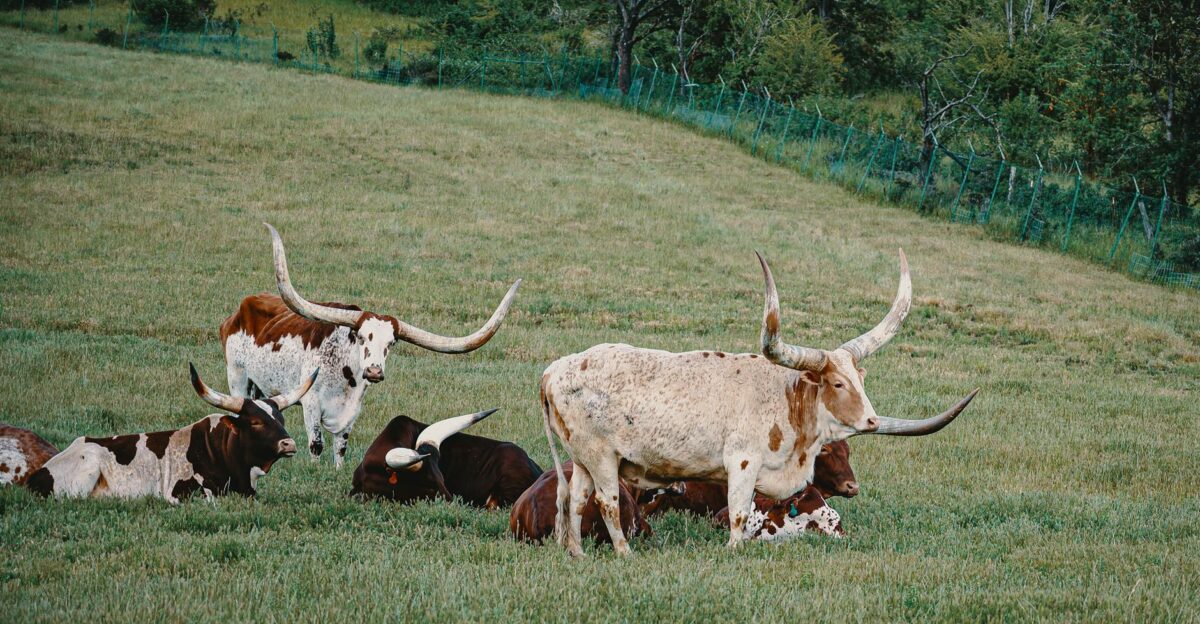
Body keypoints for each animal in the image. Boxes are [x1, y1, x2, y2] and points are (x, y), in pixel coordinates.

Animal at [220, 223, 521, 467]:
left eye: (392, 343)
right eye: (361, 337)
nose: (374, 371)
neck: (343, 373)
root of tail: (240, 309)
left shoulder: (352, 412)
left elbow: (340, 448)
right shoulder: (311, 403)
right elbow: (316, 445)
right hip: (237, 376)